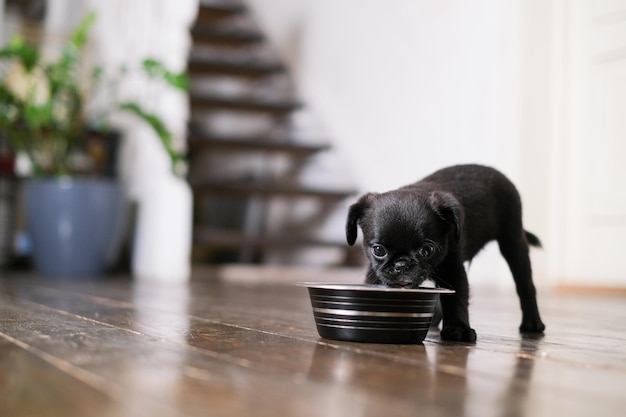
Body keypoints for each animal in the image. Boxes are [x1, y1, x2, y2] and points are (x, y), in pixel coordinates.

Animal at [344, 162, 544, 342]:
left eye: (427, 250)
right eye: (378, 250)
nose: (402, 264)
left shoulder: (452, 269)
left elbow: (457, 299)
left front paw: (458, 329)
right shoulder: (375, 272)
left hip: (513, 242)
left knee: (525, 286)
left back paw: (532, 323)